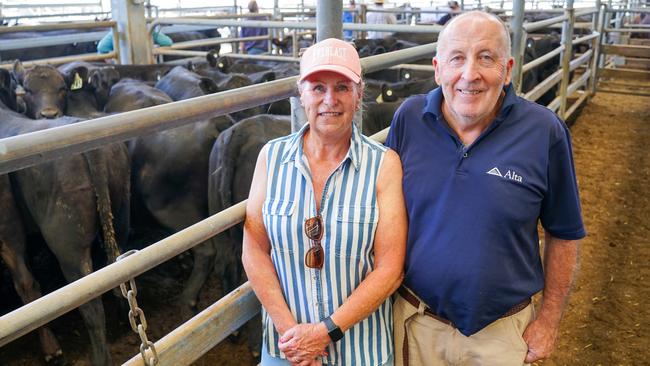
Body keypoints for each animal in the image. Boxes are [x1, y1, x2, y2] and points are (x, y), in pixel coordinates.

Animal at [0, 67, 130, 364]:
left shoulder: (7, 228)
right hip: (120, 216)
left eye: (62, 89)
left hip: (68, 245)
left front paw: (51, 349)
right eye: (26, 90)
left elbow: (26, 283)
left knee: (90, 304)